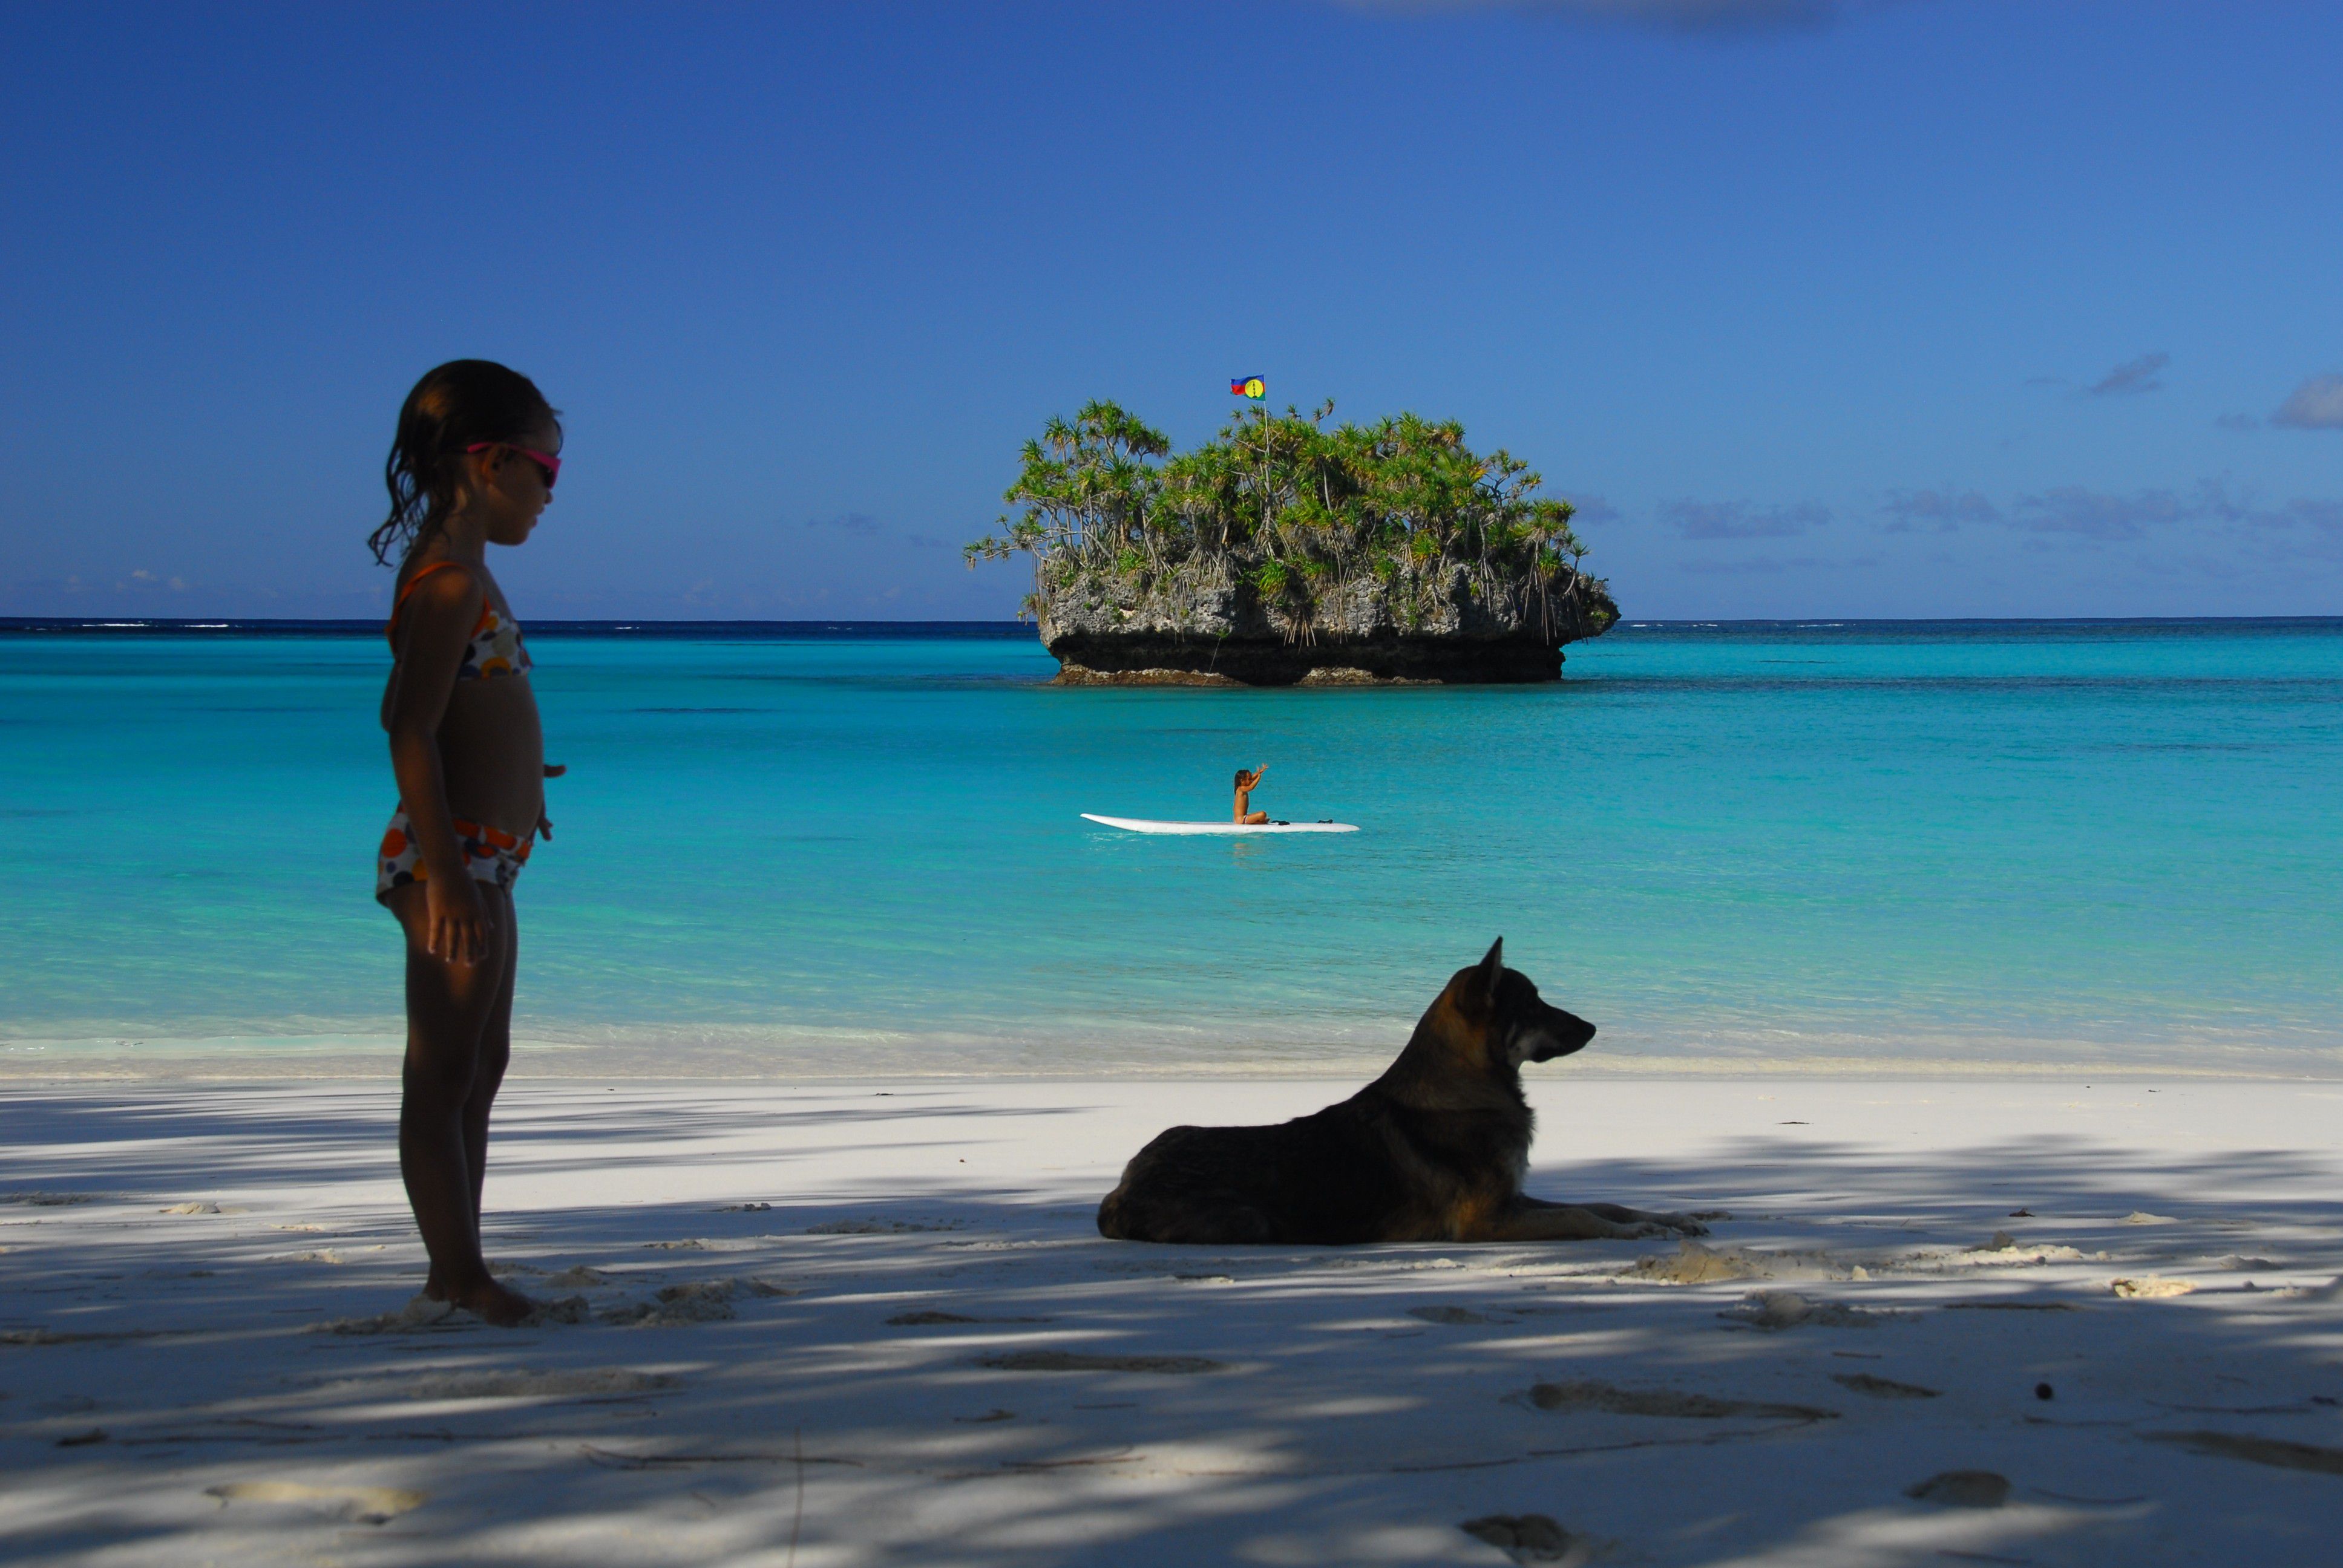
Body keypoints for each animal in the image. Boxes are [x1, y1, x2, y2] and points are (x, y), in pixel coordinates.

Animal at [1096, 937, 1724, 1237]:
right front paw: (1644, 1230)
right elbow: (1589, 1220)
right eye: (1534, 1003)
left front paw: (1670, 1218)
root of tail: (1118, 1189)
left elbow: (1606, 1202)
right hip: (1250, 1221)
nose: (1595, 1028)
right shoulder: (1490, 1220)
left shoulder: (1516, 1199)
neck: (1468, 1087)